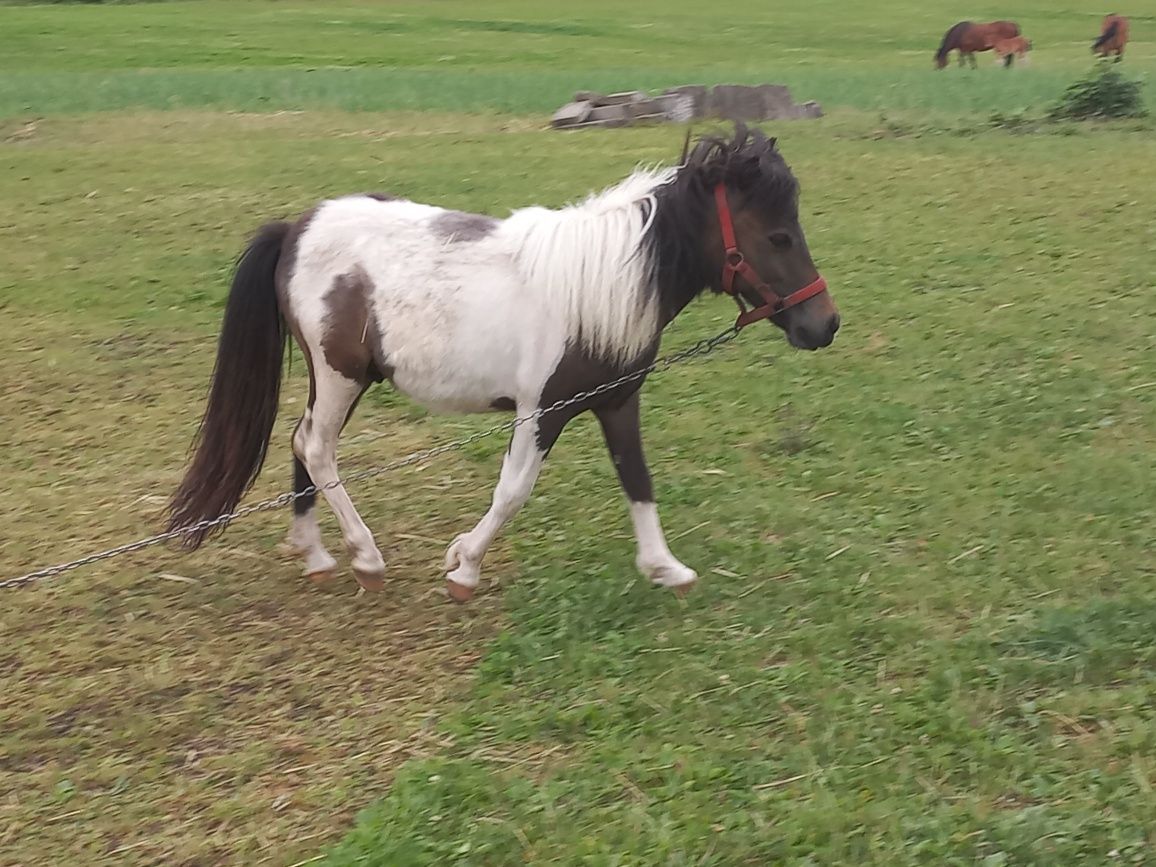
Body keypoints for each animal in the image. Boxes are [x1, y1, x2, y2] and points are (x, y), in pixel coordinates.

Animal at [167, 125, 841, 601]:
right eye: (778, 236)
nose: (825, 324)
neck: (599, 286)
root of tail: (295, 229)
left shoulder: (616, 402)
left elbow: (638, 480)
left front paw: (665, 568)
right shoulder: (543, 410)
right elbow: (514, 490)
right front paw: (463, 567)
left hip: (332, 380)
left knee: (300, 442)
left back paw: (315, 555)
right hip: (341, 376)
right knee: (316, 448)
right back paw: (366, 558)